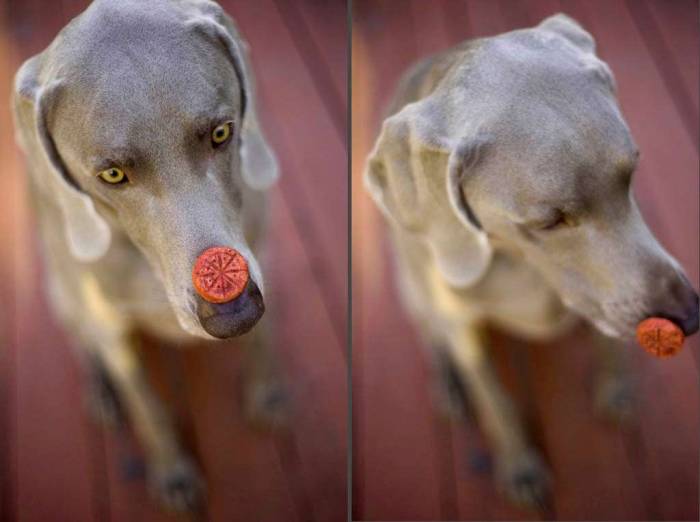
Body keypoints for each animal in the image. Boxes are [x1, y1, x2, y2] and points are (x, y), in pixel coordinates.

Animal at [12, 0, 284, 512]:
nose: (234, 314)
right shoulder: (107, 318)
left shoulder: (261, 249)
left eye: (222, 132)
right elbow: (145, 402)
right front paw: (173, 473)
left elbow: (264, 341)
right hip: (62, 290)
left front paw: (270, 392)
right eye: (113, 174)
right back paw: (101, 390)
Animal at [366, 15, 700, 508]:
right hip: (411, 287)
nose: (690, 316)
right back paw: (448, 382)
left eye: (631, 175)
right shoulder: (461, 320)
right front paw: (520, 467)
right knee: (431, 334)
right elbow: (494, 400)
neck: (514, 261)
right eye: (548, 221)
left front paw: (618, 385)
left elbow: (606, 333)